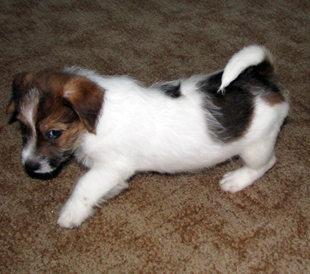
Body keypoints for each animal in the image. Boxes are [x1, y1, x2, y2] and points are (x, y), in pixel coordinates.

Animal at [7, 46, 288, 228]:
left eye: (54, 133)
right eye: (23, 128)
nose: (29, 166)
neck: (94, 122)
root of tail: (261, 80)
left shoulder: (111, 166)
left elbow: (84, 186)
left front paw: (71, 214)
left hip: (256, 146)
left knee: (265, 164)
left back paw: (236, 180)